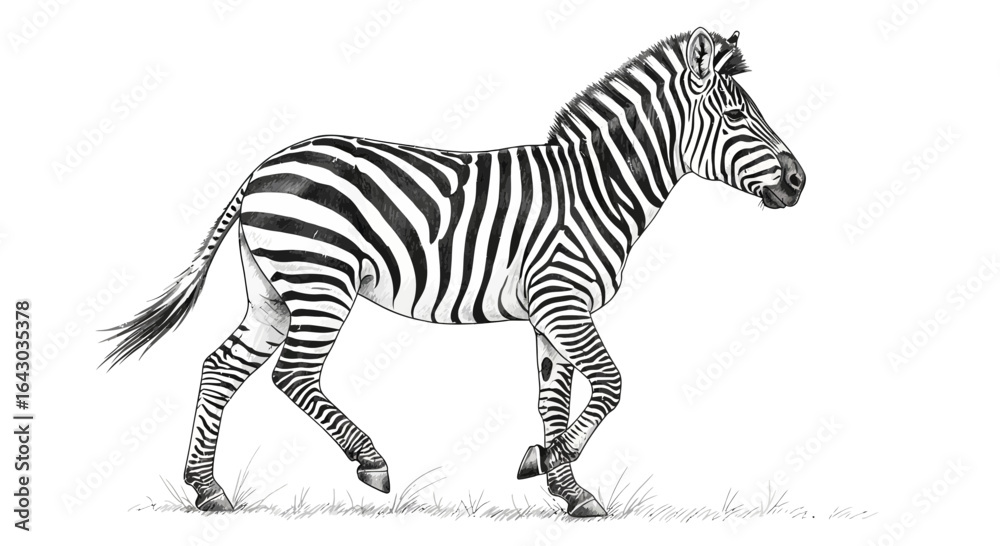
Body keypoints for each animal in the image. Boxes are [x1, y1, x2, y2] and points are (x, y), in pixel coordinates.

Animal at [103, 27, 805, 518]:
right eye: (736, 117)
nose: (800, 183)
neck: (596, 189)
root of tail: (262, 166)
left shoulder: (549, 310)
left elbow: (553, 400)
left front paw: (565, 486)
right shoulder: (563, 298)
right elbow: (609, 386)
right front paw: (550, 463)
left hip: (273, 292)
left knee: (219, 367)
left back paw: (208, 491)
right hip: (322, 282)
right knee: (293, 375)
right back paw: (371, 463)